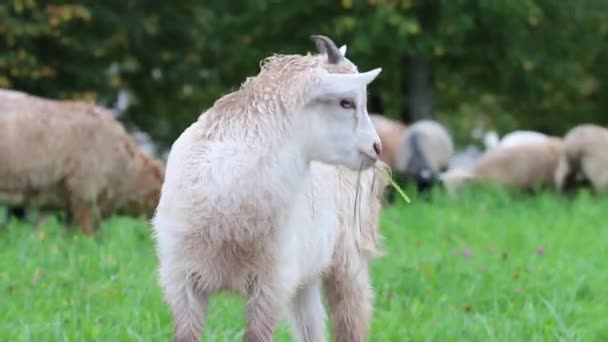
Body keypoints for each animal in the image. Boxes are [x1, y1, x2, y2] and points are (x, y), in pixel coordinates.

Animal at [154, 35, 388, 342]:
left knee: (351, 317)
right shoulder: (180, 280)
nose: (376, 147)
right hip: (306, 274)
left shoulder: (272, 283)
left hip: (348, 256)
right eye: (346, 102)